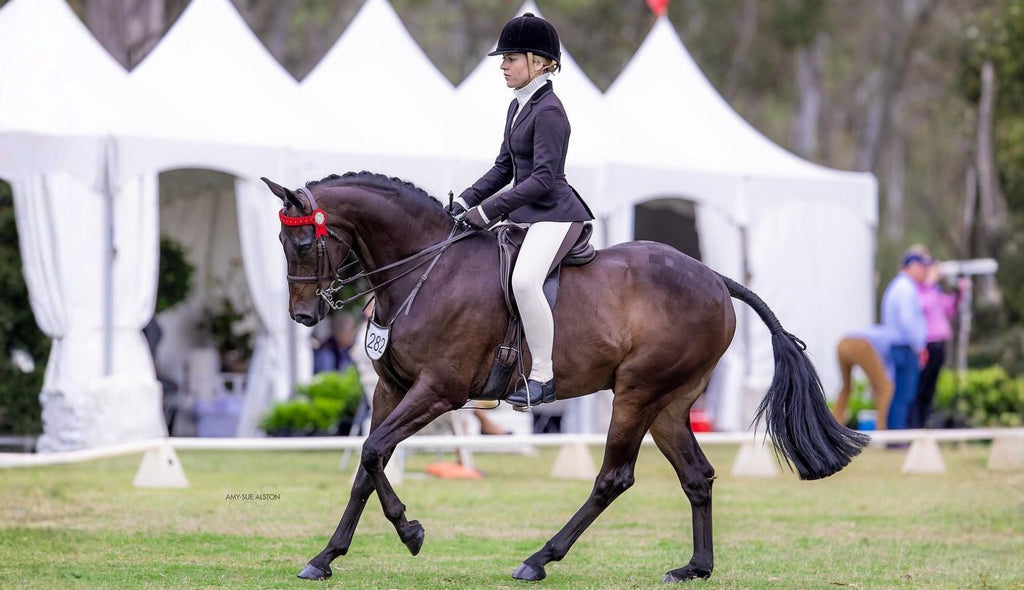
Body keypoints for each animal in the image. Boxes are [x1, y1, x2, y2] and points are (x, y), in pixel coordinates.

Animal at [261, 171, 868, 584]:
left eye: (304, 243)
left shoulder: (439, 391)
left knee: (613, 478)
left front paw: (410, 533)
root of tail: (716, 279)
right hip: (671, 404)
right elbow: (369, 463)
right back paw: (694, 567)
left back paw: (538, 559)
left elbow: (372, 452)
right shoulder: (391, 388)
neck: (424, 270)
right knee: (697, 476)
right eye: (282, 244)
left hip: (636, 393)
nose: (304, 317)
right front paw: (326, 557)